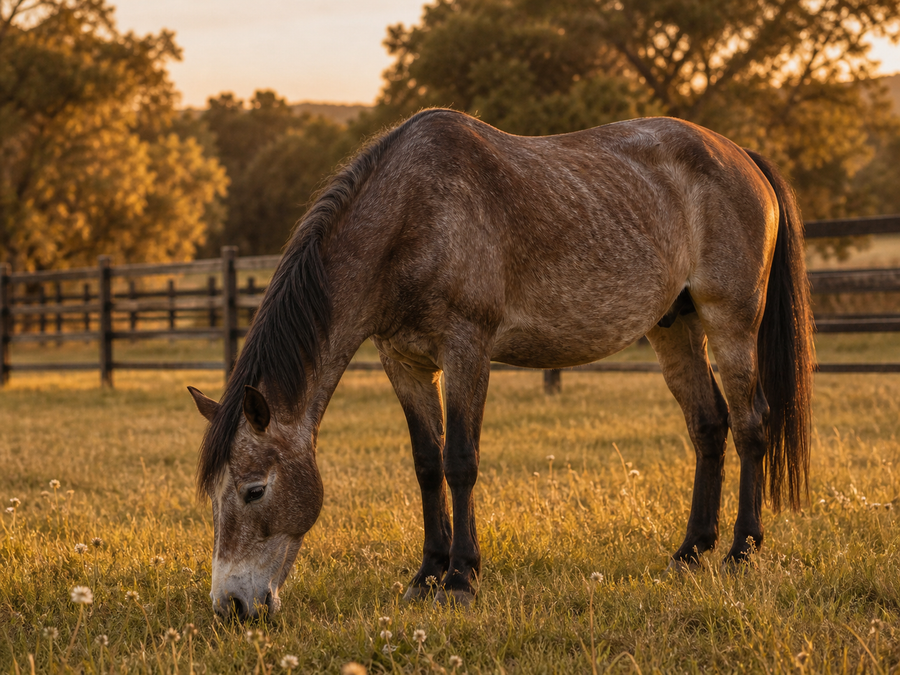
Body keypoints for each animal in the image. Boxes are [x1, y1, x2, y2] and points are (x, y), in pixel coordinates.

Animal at [188, 108, 814, 620]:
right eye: (215, 496)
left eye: (254, 491)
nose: (231, 607)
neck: (413, 215)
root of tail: (740, 156)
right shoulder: (404, 362)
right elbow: (427, 464)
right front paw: (427, 573)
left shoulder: (467, 350)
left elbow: (460, 461)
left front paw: (461, 578)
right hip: (674, 326)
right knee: (708, 426)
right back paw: (690, 551)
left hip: (730, 322)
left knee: (751, 426)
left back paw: (740, 550)